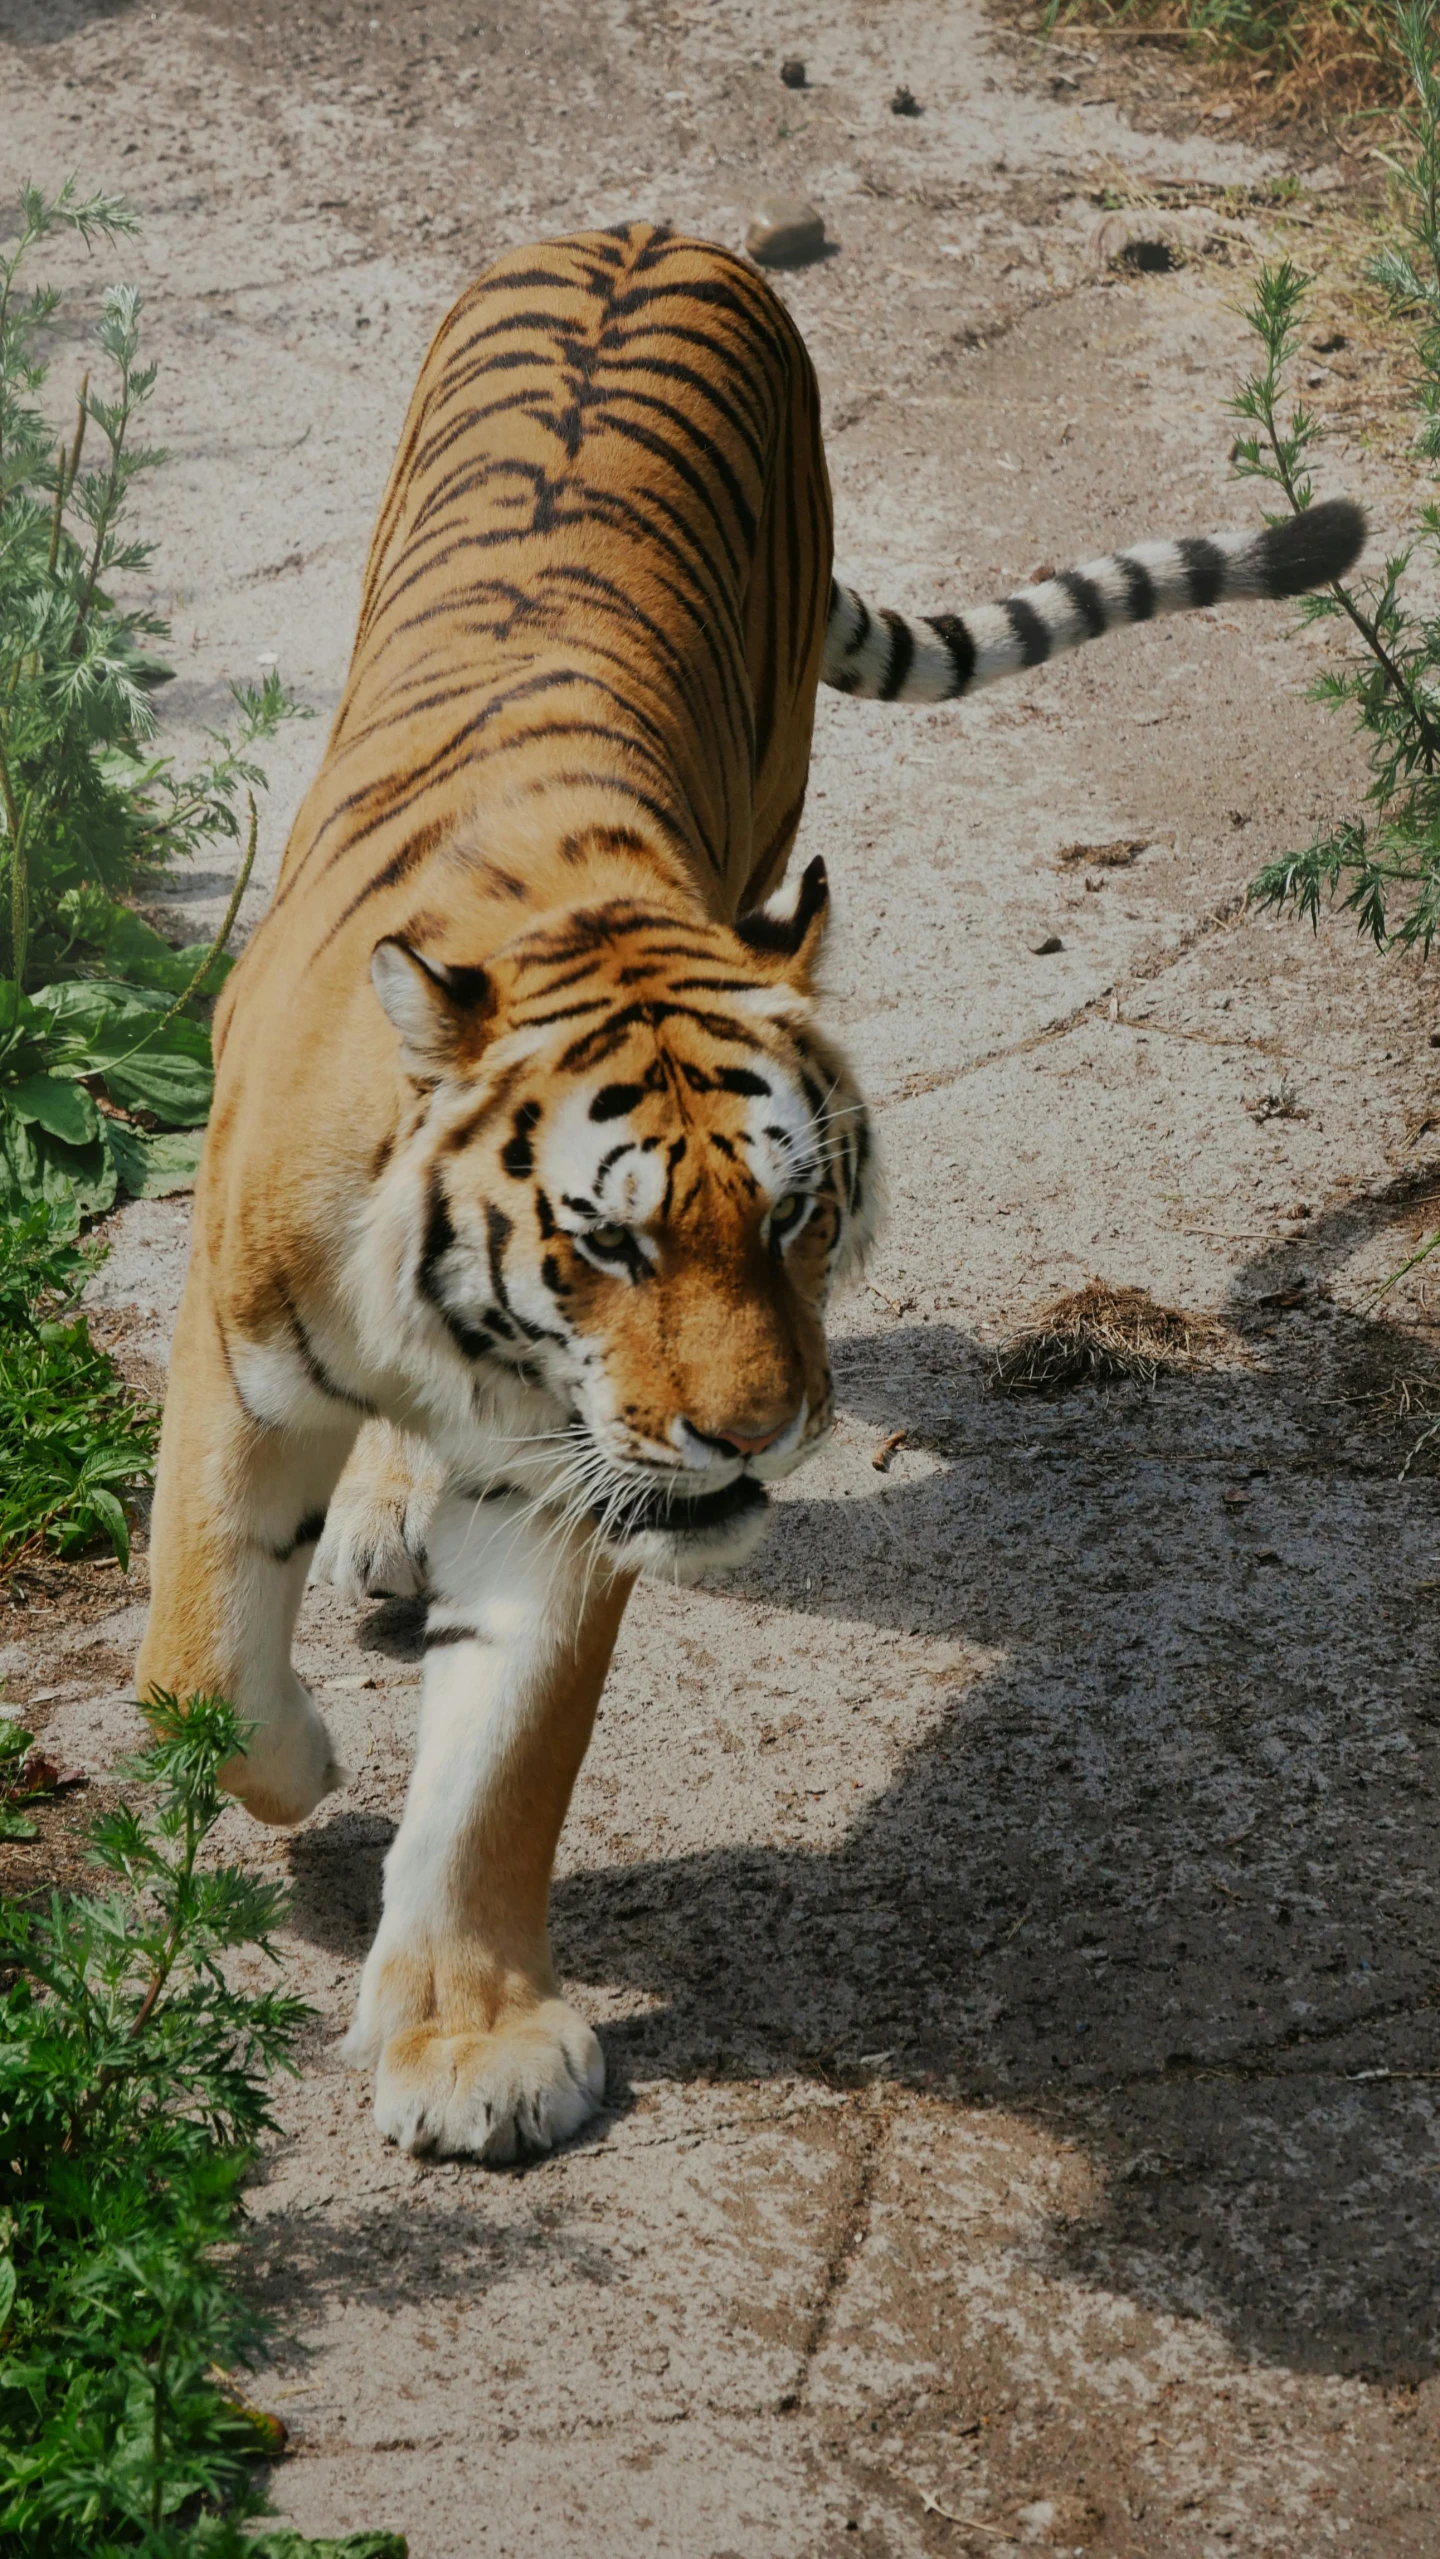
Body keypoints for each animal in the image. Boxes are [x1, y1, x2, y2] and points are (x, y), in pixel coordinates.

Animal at [140, 220, 1370, 2159]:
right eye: (608, 1241)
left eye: (795, 1220)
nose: (759, 1433)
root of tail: (654, 227)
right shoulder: (244, 1356)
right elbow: (195, 1655)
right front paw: (313, 1771)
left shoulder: (565, 1476)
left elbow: (505, 1765)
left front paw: (474, 2041)